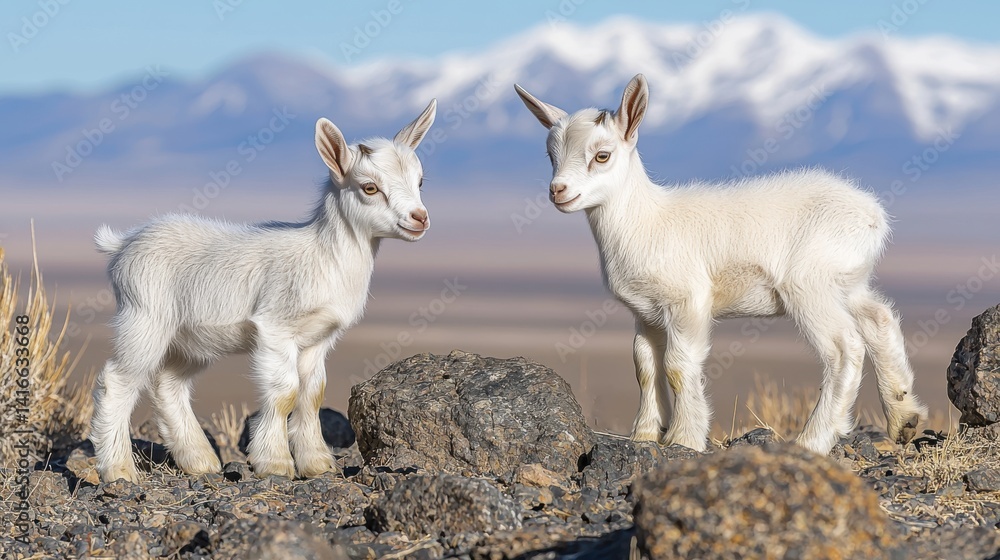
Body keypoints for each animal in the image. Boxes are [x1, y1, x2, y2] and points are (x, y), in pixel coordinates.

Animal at [90, 100, 437, 482]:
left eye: (420, 181)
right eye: (370, 187)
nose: (419, 218)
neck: (322, 254)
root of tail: (122, 244)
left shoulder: (317, 340)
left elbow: (312, 394)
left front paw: (317, 464)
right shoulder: (275, 329)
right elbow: (285, 392)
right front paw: (275, 463)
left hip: (189, 341)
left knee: (167, 383)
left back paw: (200, 461)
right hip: (144, 323)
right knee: (117, 382)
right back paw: (119, 470)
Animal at [515, 75, 926, 454]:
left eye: (602, 155)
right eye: (551, 156)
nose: (558, 191)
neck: (646, 220)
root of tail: (873, 216)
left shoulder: (688, 301)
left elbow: (678, 366)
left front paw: (684, 438)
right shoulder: (646, 313)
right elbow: (645, 366)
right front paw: (645, 434)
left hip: (809, 285)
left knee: (845, 348)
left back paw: (812, 441)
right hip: (847, 283)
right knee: (879, 319)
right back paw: (904, 418)